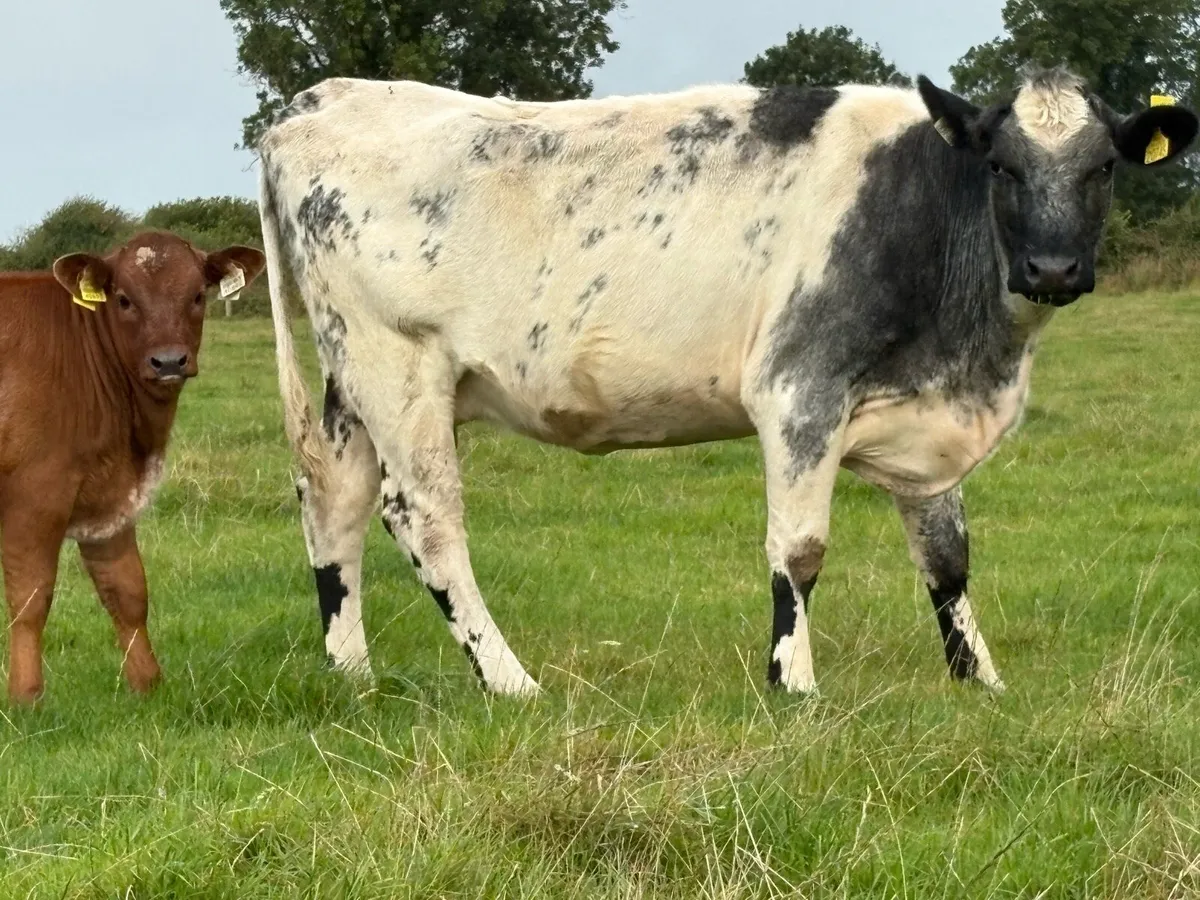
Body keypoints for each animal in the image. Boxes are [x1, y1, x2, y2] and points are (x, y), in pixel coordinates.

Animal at [0, 232, 266, 704]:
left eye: (198, 295)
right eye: (124, 299)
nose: (169, 361)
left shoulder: (112, 498)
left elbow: (127, 592)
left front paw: (148, 685)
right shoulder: (34, 497)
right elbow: (30, 600)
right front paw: (26, 696)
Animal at [255, 65, 1197, 698]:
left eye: (1104, 167)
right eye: (1001, 165)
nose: (1052, 268)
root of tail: (321, 101)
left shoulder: (924, 420)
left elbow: (947, 559)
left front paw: (979, 680)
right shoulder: (799, 389)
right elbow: (800, 549)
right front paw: (793, 682)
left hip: (349, 380)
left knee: (333, 501)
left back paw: (351, 669)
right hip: (397, 365)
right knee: (424, 516)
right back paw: (510, 680)